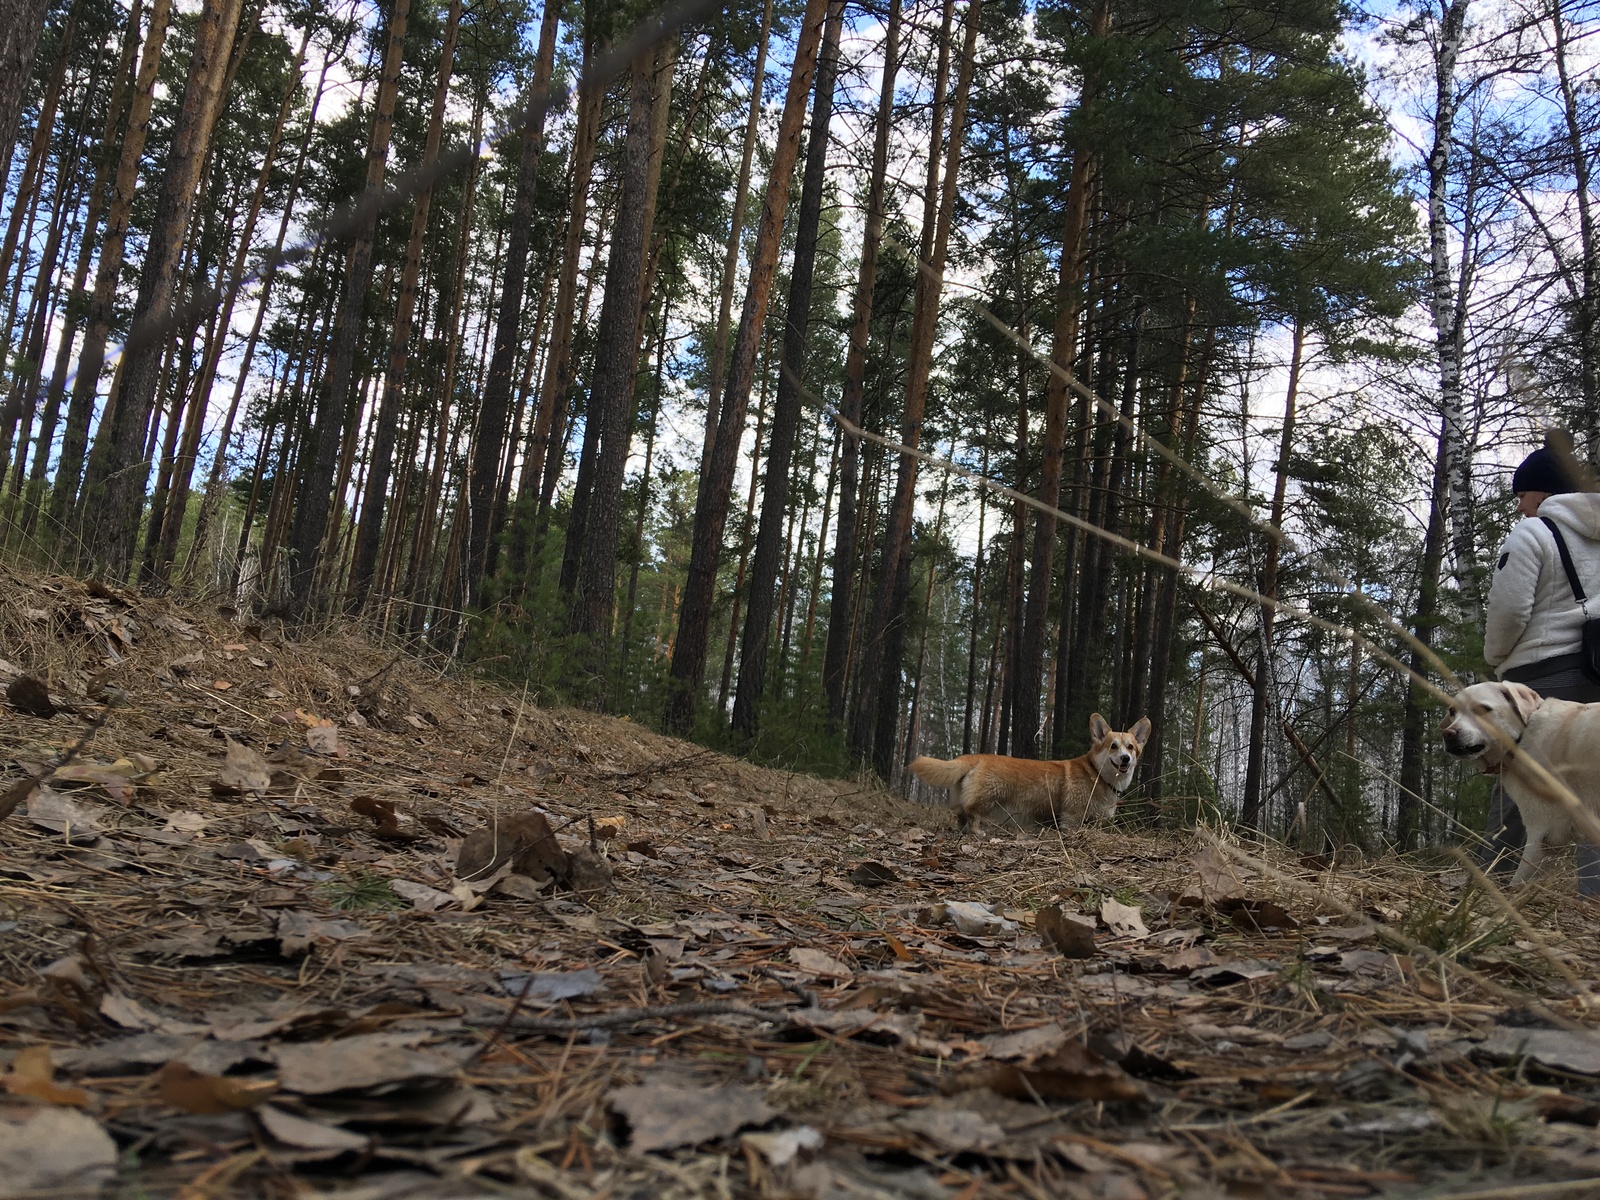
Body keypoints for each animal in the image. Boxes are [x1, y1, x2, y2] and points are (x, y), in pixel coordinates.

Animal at [1446, 684, 1600, 883]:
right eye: (1452, 711)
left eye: (1482, 709)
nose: (1447, 734)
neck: (1522, 737)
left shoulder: (1541, 833)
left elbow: (1519, 882)